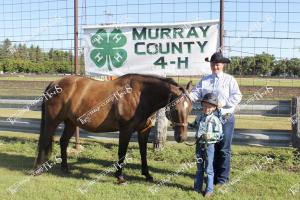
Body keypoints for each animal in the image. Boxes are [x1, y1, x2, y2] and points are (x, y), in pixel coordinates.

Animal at [34, 74, 193, 183]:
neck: (139, 96)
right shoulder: (125, 130)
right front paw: (120, 177)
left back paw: (65, 168)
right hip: (52, 121)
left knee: (63, 141)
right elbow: (122, 152)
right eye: (175, 109)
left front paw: (147, 175)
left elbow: (143, 153)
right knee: (45, 140)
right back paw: (37, 170)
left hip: (71, 123)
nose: (182, 137)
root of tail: (54, 83)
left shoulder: (144, 130)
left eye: (190, 108)